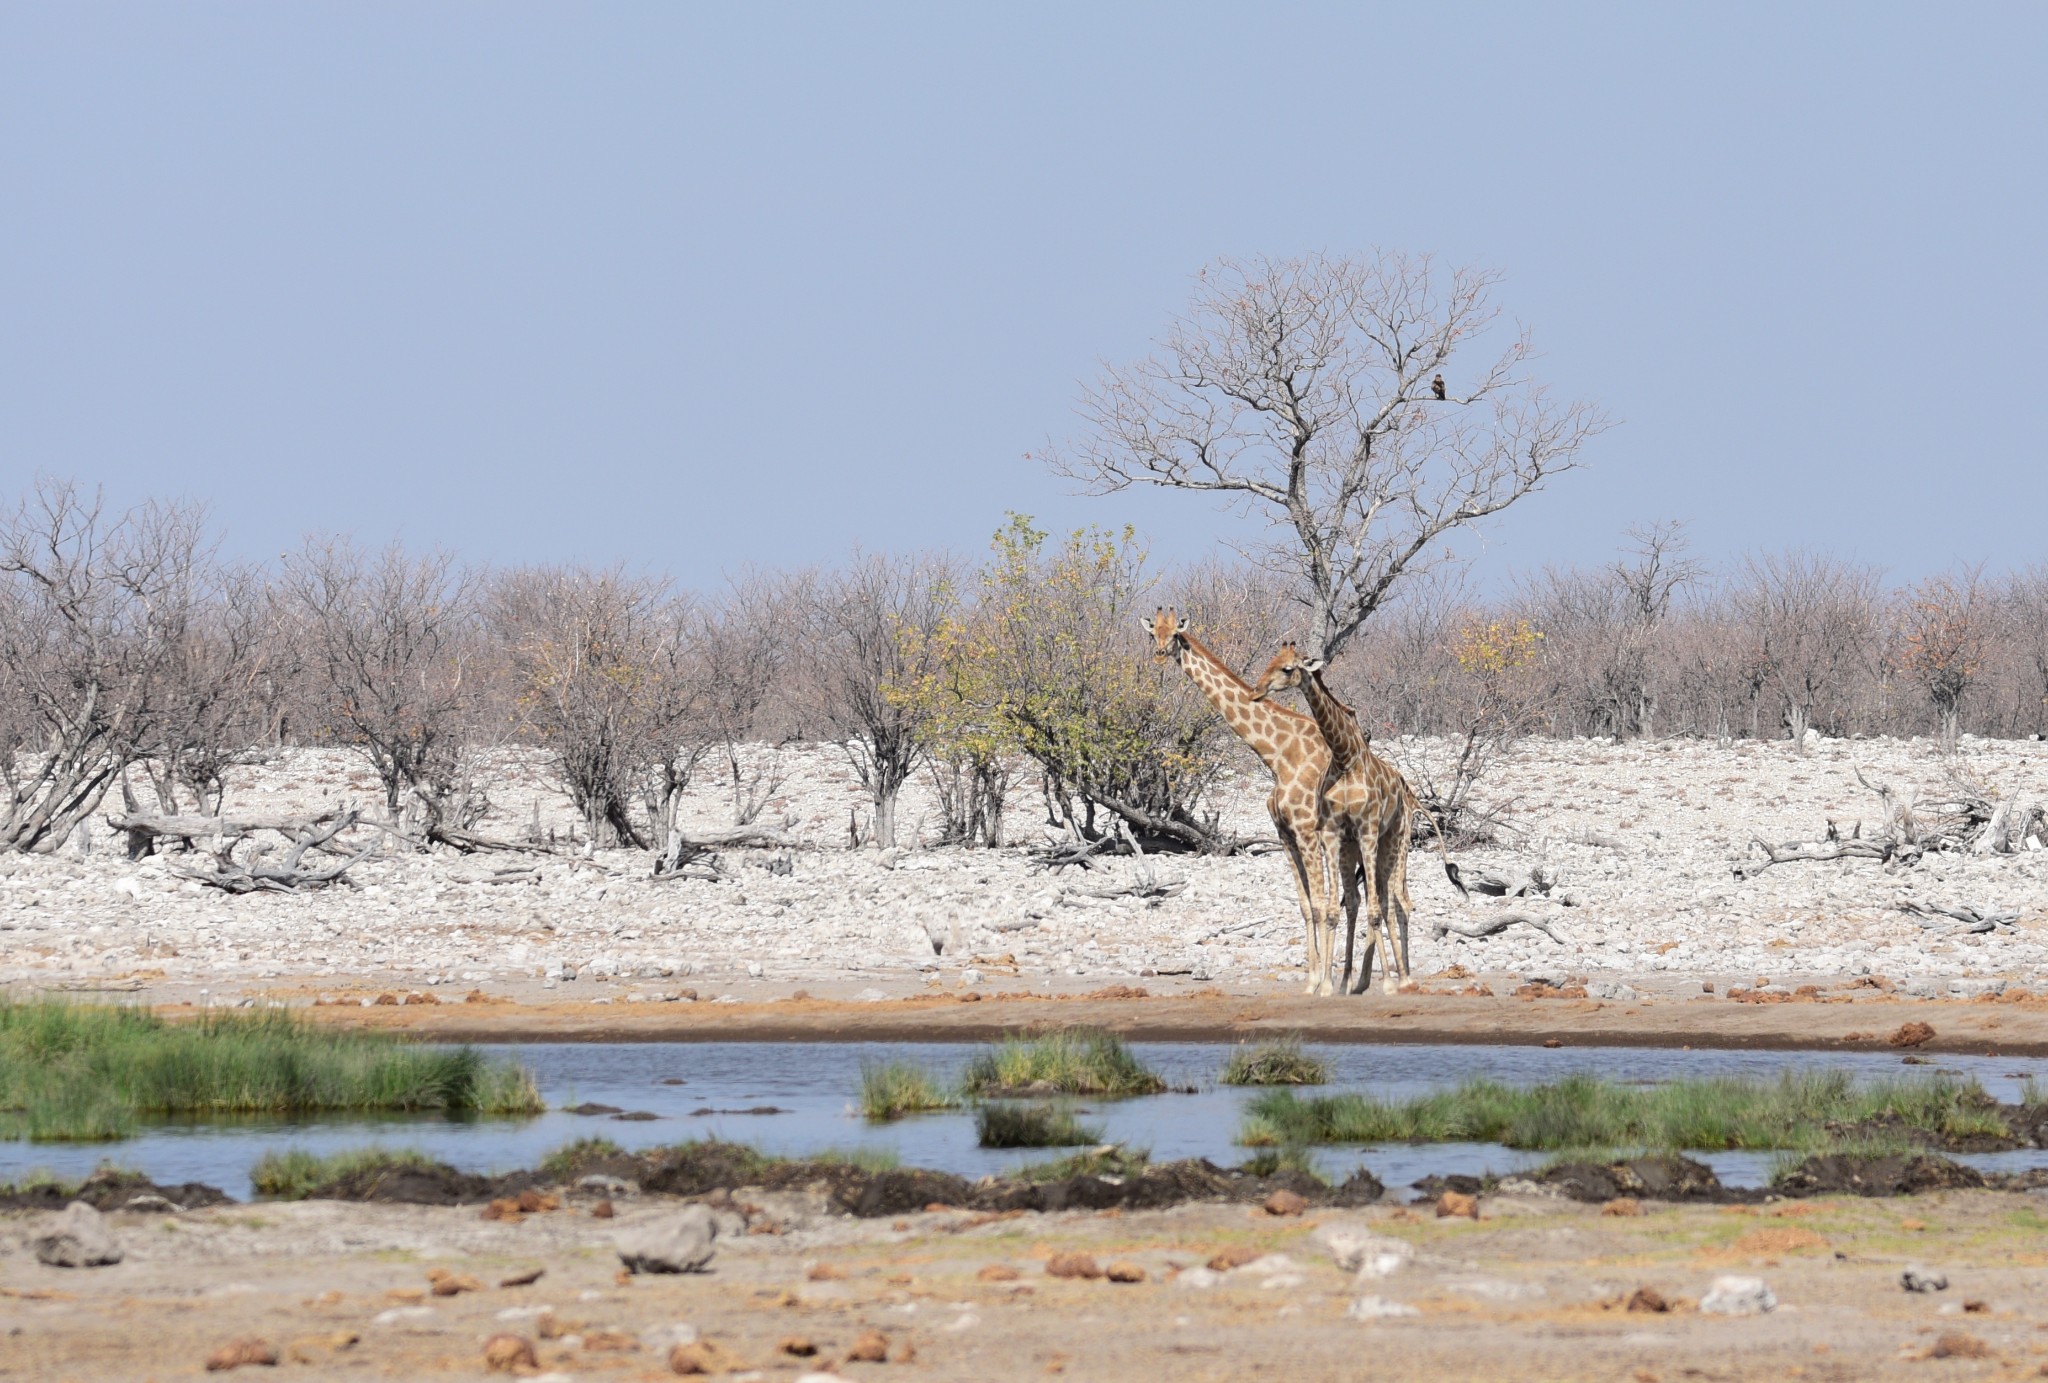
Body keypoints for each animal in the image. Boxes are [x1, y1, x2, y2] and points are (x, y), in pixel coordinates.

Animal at [1155, 610, 1343, 995]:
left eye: (1175, 634)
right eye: (1153, 631)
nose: (1160, 652)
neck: (1279, 757)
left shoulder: (1306, 830)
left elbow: (1319, 906)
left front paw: (1323, 984)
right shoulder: (1285, 834)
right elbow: (1306, 906)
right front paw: (1312, 980)